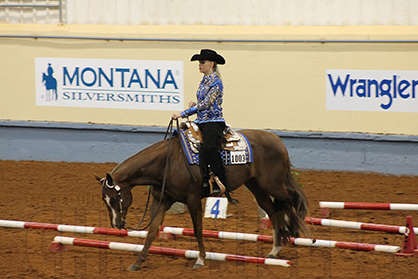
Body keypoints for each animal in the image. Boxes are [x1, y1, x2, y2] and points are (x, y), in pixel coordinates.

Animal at [95, 129, 310, 272]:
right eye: (104, 200)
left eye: (113, 199)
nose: (116, 225)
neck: (167, 162)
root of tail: (277, 139)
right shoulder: (161, 200)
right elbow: (152, 231)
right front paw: (138, 262)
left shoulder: (192, 199)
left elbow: (197, 229)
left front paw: (200, 259)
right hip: (256, 185)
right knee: (272, 209)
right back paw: (275, 249)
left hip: (272, 184)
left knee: (292, 199)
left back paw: (298, 231)